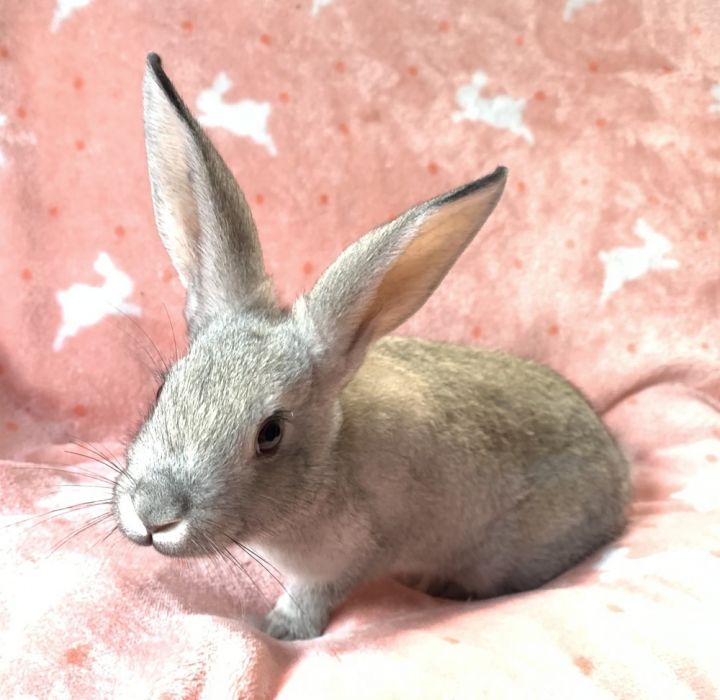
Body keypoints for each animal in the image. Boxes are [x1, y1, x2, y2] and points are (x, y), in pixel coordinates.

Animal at [112, 53, 630, 641]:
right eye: (161, 391)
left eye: (270, 434)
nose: (153, 514)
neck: (327, 465)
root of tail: (621, 479)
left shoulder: (349, 556)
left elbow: (313, 596)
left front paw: (280, 630)